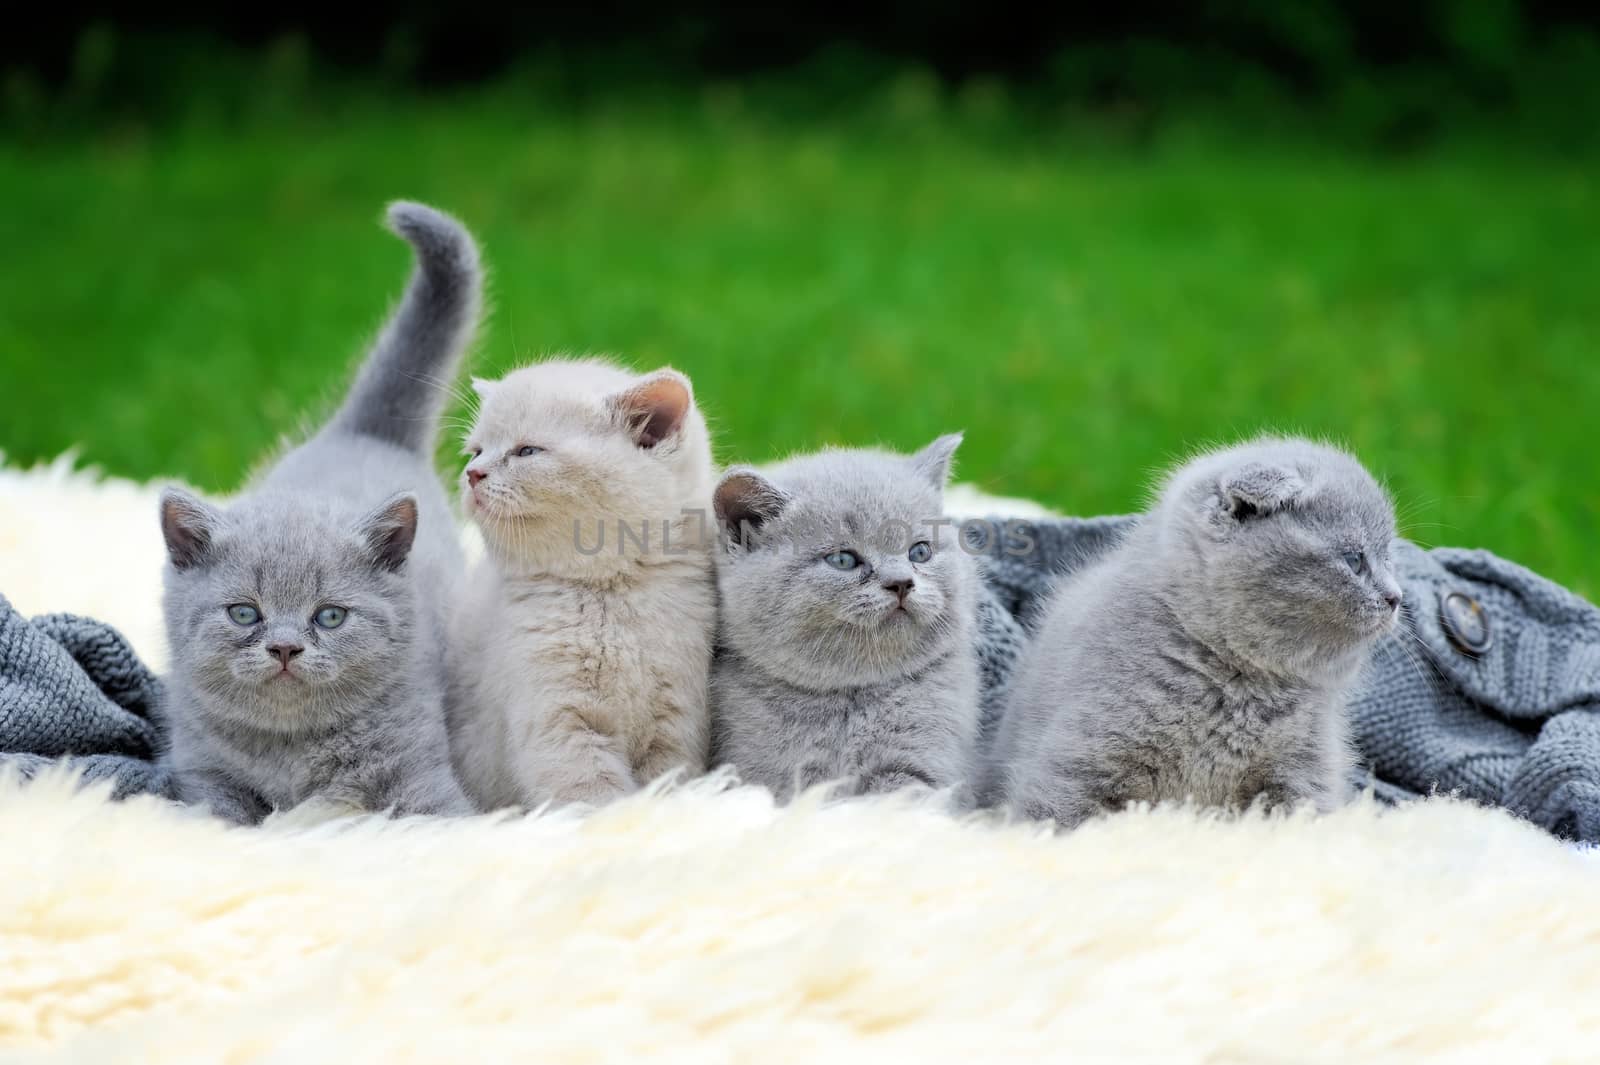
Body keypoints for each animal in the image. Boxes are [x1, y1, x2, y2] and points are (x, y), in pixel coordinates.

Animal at [156, 203, 483, 825]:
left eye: (330, 616)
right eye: (244, 613)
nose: (285, 648)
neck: (293, 754)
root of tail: (363, 432)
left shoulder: (418, 769)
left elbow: (448, 819)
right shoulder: (204, 774)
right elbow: (219, 815)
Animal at [438, 356, 713, 805]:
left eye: (527, 450)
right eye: (476, 451)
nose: (472, 473)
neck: (609, 595)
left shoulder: (678, 722)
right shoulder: (560, 725)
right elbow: (594, 798)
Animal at [985, 434, 1401, 825]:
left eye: (1389, 560)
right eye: (1354, 560)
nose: (1396, 597)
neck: (1239, 679)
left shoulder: (1305, 767)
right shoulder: (1081, 757)